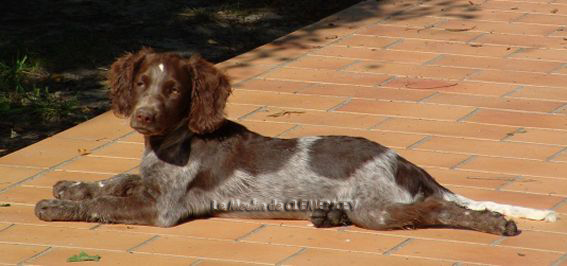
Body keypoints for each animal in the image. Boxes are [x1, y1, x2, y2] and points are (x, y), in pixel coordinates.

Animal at [33, 47, 556, 235]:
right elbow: (116, 180)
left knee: (437, 210)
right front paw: (72, 186)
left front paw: (57, 206)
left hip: (377, 207)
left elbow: (110, 204)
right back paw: (327, 216)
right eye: (142, 83)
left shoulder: (162, 208)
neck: (172, 141)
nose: (143, 116)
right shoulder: (149, 181)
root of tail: (409, 164)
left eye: (175, 90)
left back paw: (491, 222)